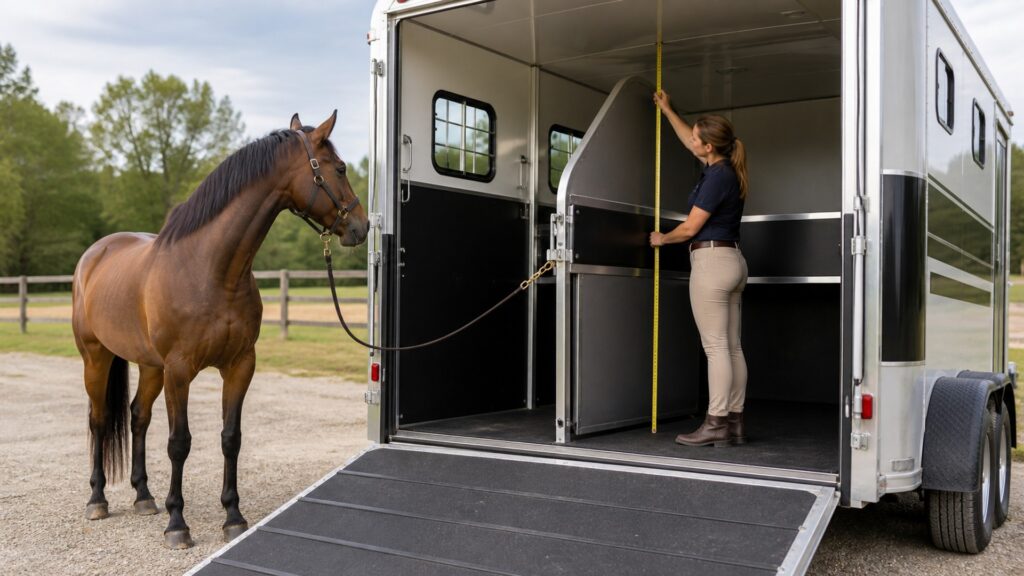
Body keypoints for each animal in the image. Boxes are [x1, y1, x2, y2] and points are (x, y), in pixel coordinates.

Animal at [71, 111, 369, 549]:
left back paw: (143, 496)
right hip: (97, 356)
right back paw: (97, 500)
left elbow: (231, 437)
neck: (211, 269)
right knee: (97, 419)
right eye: (341, 168)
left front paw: (233, 516)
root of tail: (94, 254)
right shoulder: (180, 371)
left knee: (138, 416)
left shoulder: (240, 365)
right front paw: (178, 524)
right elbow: (179, 443)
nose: (361, 226)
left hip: (150, 366)